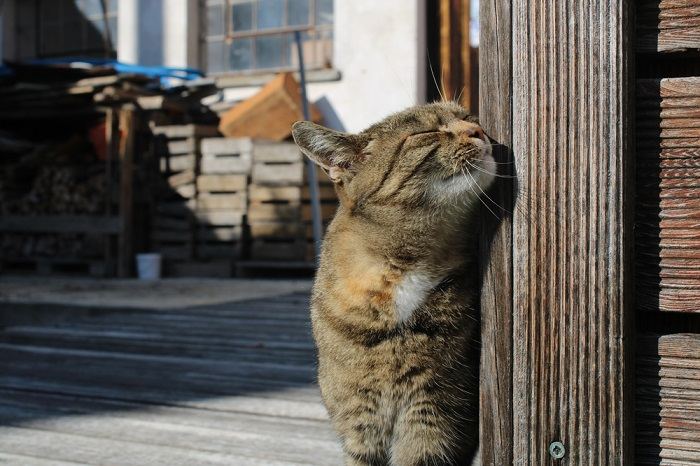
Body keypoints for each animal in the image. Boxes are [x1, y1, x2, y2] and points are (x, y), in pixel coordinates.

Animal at [292, 102, 494, 466]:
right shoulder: (359, 421)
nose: (479, 130)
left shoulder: (436, 417)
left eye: (469, 117)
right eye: (426, 132)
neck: (401, 267)